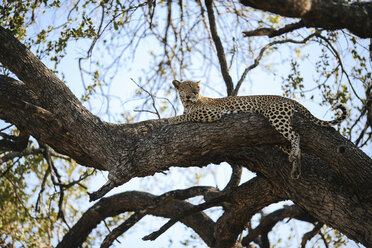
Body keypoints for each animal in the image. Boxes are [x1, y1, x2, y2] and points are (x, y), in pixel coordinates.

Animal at [169, 79, 348, 178]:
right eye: (188, 85)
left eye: (197, 87)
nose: (196, 91)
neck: (187, 103)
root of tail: (287, 98)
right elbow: (186, 114)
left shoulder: (210, 113)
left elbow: (188, 116)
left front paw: (170, 119)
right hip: (279, 136)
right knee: (296, 147)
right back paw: (295, 169)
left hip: (276, 116)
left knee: (296, 134)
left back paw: (293, 158)